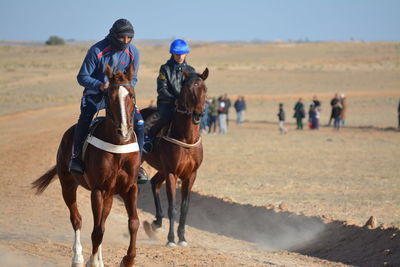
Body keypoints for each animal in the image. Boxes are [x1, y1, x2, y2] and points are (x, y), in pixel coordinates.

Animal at [33, 63, 142, 267]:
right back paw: (78, 258)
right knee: (77, 219)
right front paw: (92, 262)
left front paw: (128, 259)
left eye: (131, 95)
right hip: (68, 185)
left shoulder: (130, 188)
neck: (118, 147)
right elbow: (97, 231)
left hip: (109, 195)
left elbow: (133, 223)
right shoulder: (98, 190)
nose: (124, 131)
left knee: (102, 222)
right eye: (108, 96)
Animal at [141, 68, 209, 248]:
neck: (186, 139)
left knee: (155, 183)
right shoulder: (172, 173)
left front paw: (182, 237)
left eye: (204, 89)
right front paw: (171, 239)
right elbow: (173, 207)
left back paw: (156, 222)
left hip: (162, 169)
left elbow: (184, 208)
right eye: (187, 89)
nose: (198, 113)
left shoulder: (190, 175)